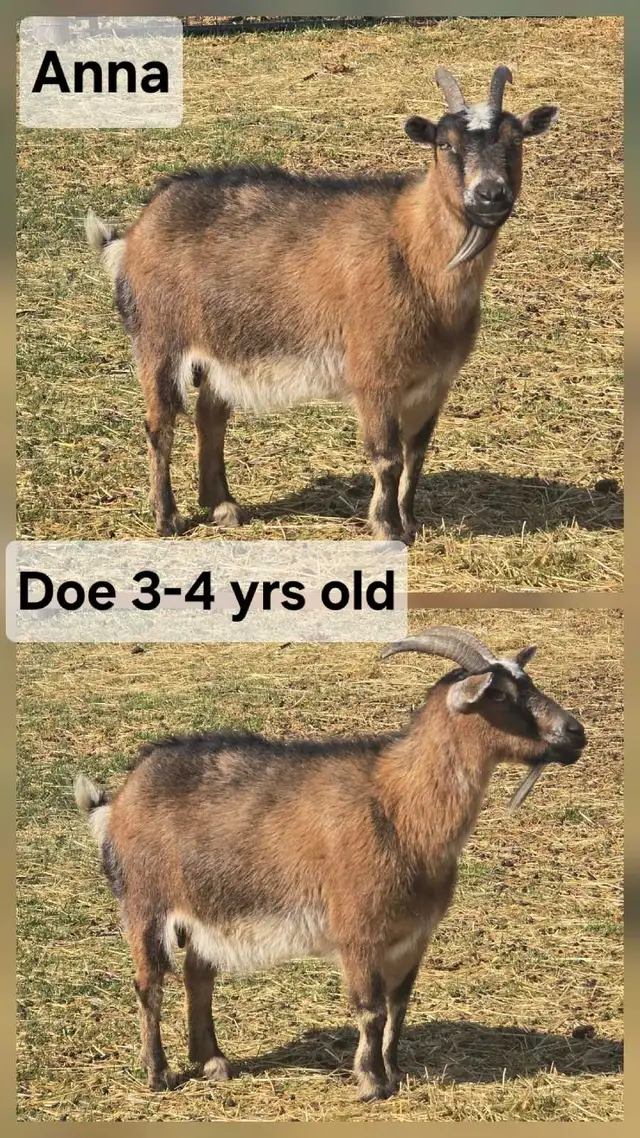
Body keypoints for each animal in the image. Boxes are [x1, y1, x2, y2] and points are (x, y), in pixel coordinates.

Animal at [75, 626, 585, 1101]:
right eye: (498, 693)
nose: (574, 732)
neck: (397, 807)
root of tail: (119, 797)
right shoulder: (358, 931)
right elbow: (371, 1009)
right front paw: (371, 1083)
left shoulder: (413, 936)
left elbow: (399, 1006)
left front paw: (395, 1073)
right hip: (145, 903)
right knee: (149, 983)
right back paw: (158, 1073)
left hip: (208, 909)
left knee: (198, 976)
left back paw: (213, 1061)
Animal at [85, 67, 558, 542]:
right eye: (445, 144)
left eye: (516, 140)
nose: (490, 194)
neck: (413, 253)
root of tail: (135, 232)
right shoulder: (374, 375)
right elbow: (387, 457)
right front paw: (387, 528)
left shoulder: (435, 382)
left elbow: (416, 456)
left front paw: (410, 523)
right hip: (158, 340)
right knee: (159, 425)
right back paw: (167, 517)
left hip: (223, 349)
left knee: (210, 416)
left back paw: (222, 505)